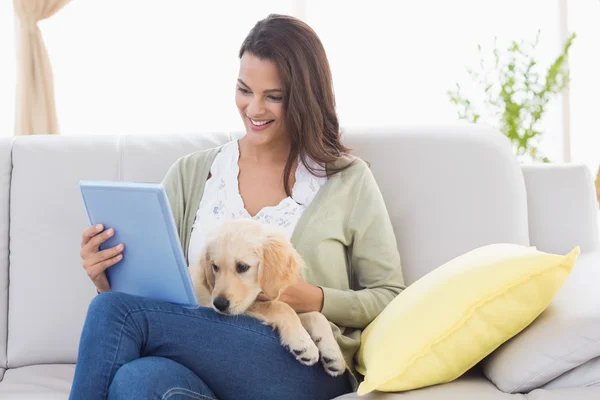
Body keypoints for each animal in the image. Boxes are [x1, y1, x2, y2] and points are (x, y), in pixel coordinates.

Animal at [188, 220, 346, 376]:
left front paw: (333, 352)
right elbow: (281, 307)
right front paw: (303, 342)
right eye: (215, 267)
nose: (219, 304)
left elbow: (317, 315)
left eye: (242, 266)